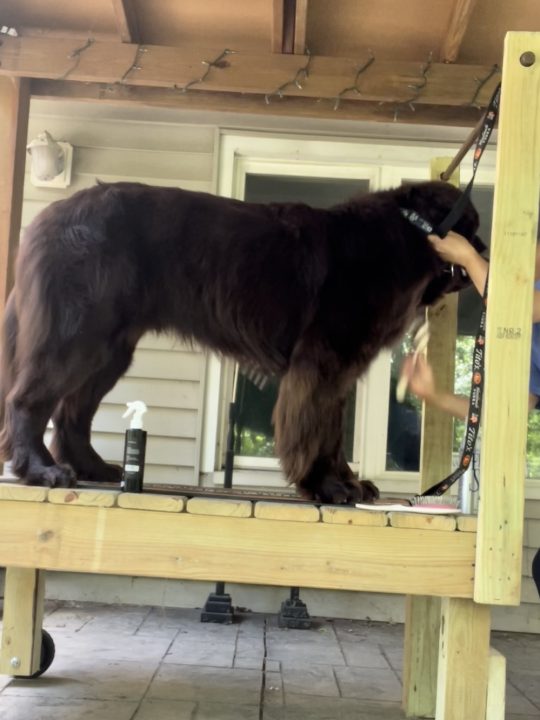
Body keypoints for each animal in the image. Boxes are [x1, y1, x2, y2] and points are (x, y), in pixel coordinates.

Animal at [0, 183, 480, 504]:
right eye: (472, 226)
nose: (485, 252)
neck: (408, 233)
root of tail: (46, 217)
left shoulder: (337, 367)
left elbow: (329, 431)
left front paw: (347, 482)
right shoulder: (323, 360)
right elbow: (314, 427)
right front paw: (325, 485)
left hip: (110, 347)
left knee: (72, 412)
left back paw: (92, 468)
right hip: (78, 334)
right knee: (28, 399)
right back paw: (41, 469)